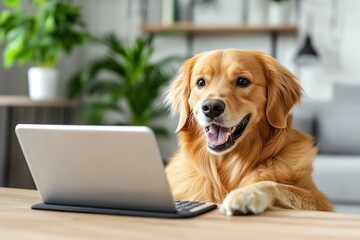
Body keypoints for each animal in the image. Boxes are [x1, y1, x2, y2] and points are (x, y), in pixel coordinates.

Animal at [165, 49, 334, 216]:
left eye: (242, 81)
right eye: (201, 82)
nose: (211, 107)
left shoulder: (319, 200)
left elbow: (274, 184)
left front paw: (246, 194)